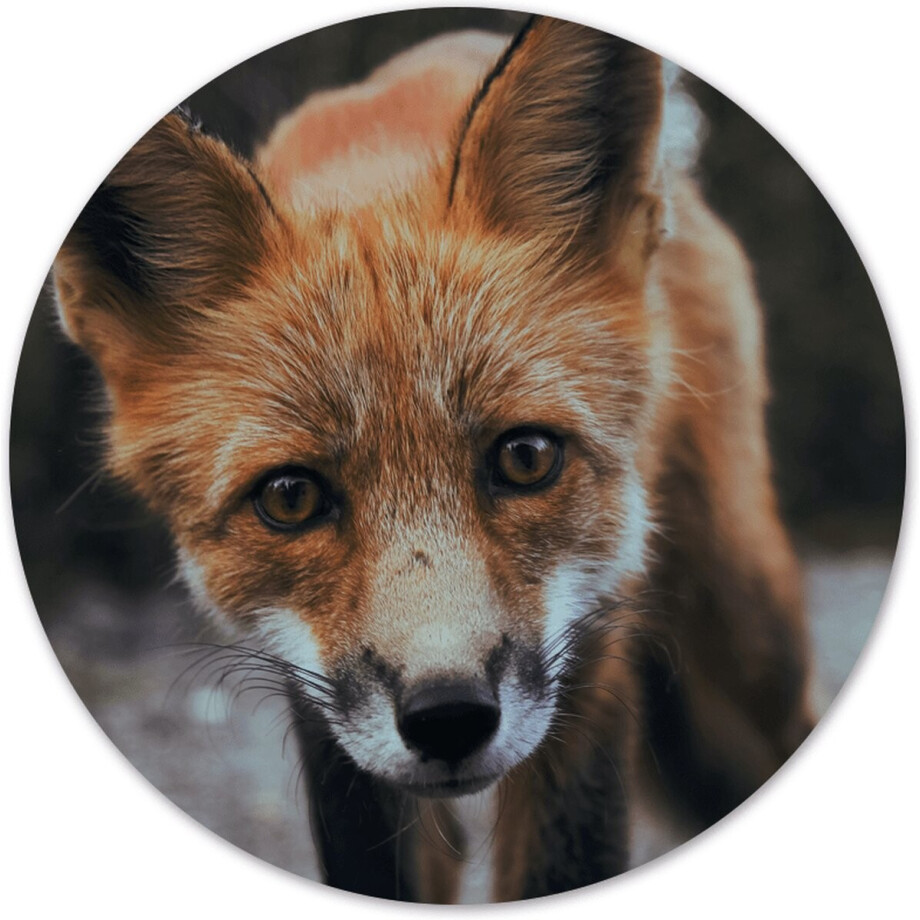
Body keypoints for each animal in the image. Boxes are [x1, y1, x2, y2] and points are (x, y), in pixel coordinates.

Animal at [51, 14, 815, 902]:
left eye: (526, 457)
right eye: (290, 498)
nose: (448, 716)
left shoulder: (591, 654)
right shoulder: (322, 711)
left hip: (744, 655)